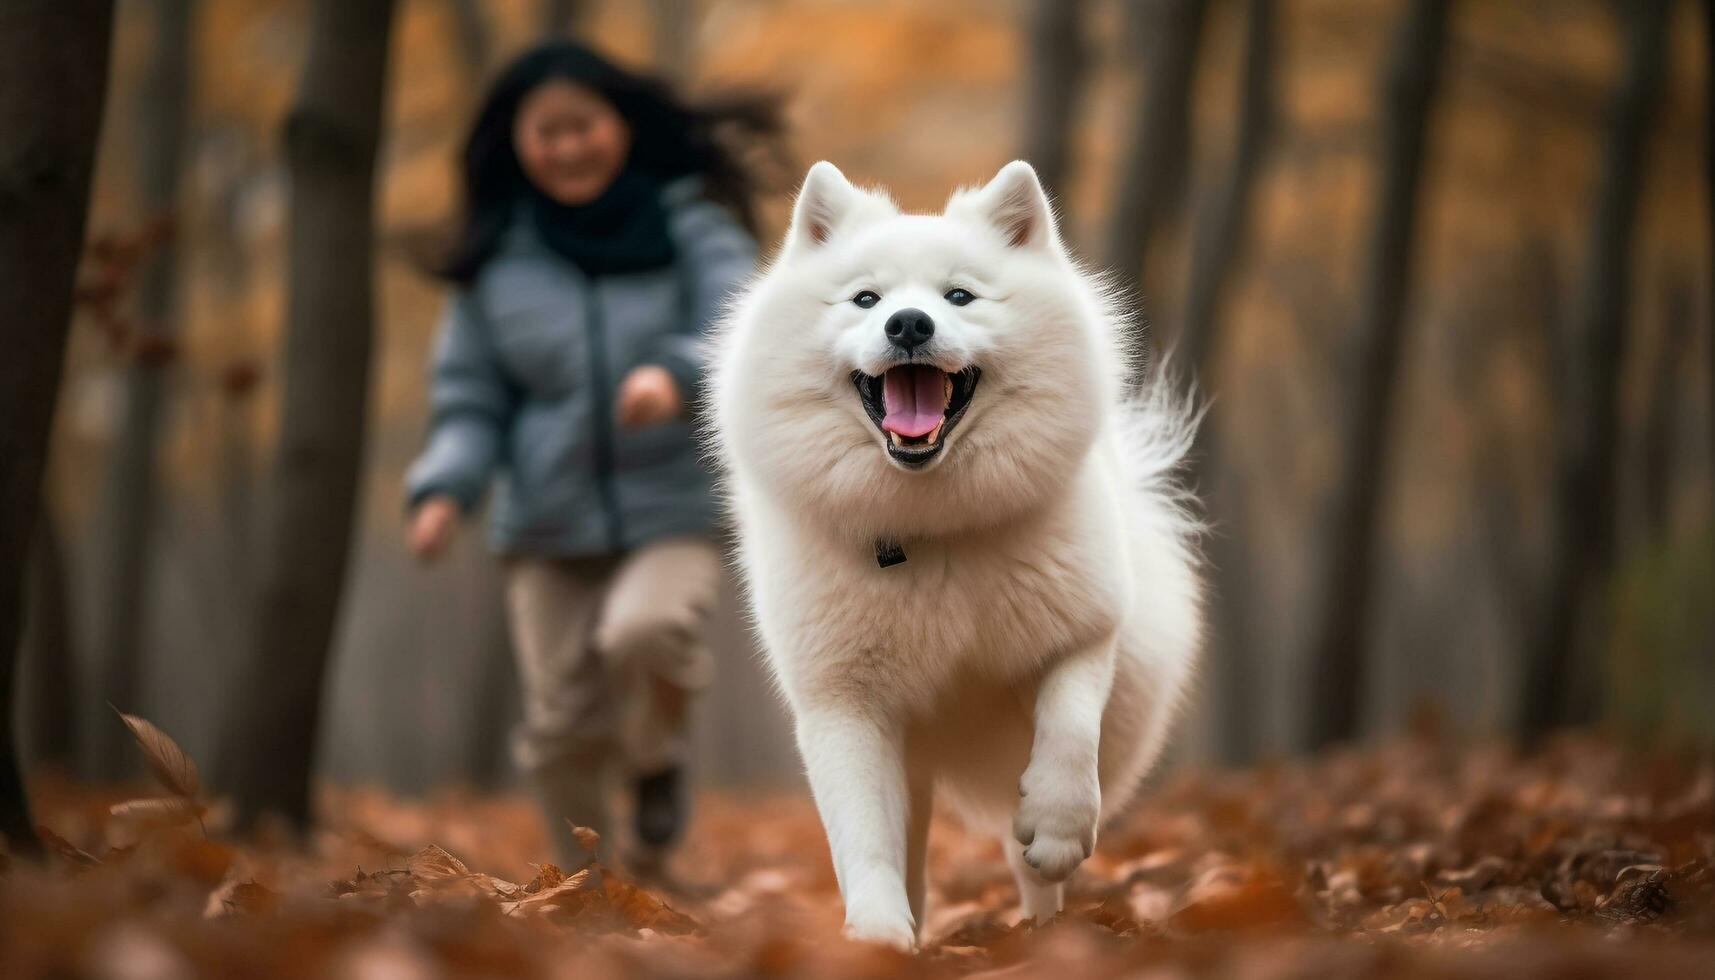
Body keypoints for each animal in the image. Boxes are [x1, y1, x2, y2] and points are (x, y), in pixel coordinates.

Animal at [703, 161, 1200, 954]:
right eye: (866, 299)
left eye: (959, 295)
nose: (909, 323)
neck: (932, 529)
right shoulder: (843, 703)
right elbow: (863, 836)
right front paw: (877, 937)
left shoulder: (1082, 632)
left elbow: (1069, 736)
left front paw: (1058, 829)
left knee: (1026, 850)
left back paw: (1044, 927)